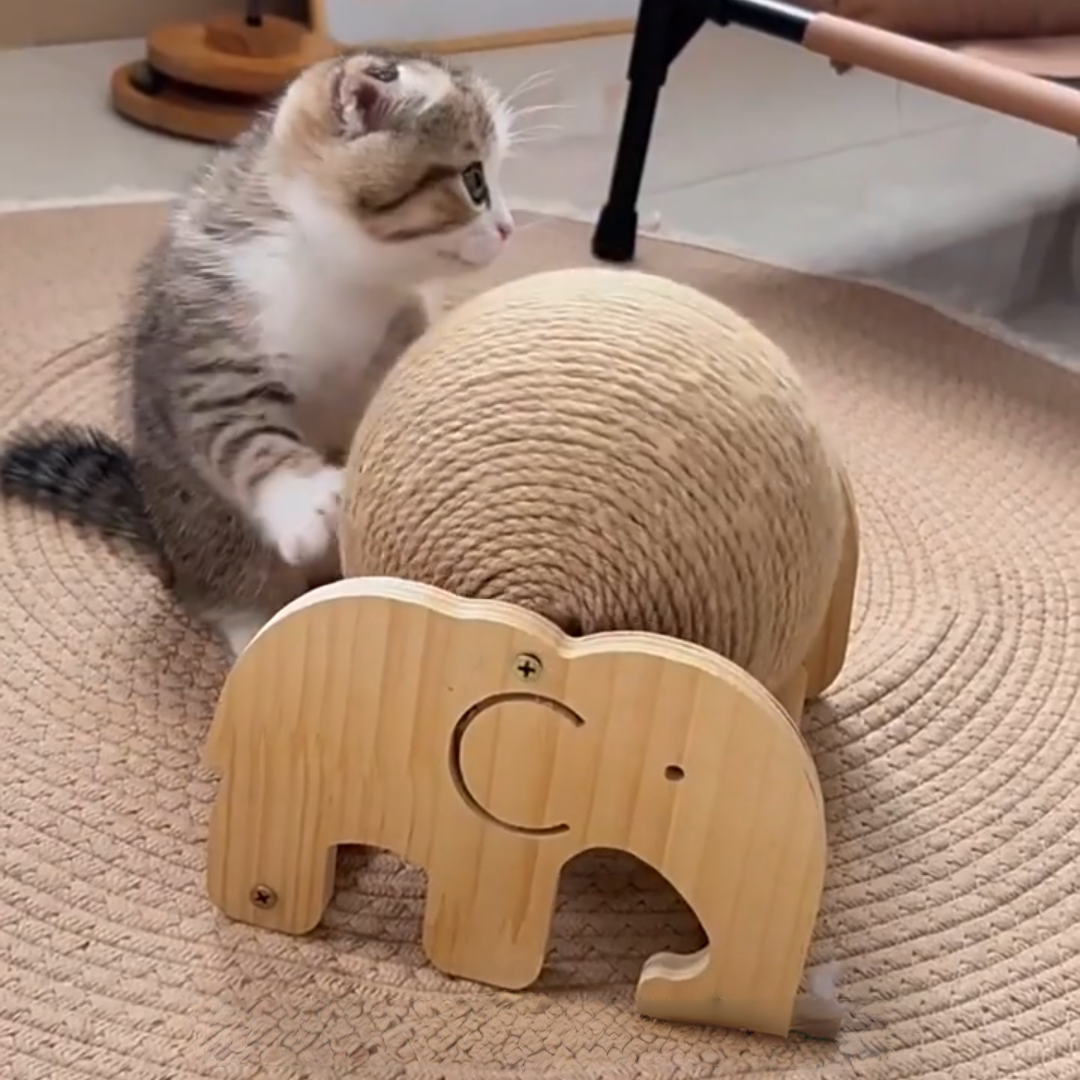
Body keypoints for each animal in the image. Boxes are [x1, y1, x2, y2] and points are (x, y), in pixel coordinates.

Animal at [0, 48, 515, 659]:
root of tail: (164, 546)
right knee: (238, 586)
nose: (508, 229)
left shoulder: (400, 322)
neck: (338, 275)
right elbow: (239, 430)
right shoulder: (210, 352)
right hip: (209, 528)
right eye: (475, 181)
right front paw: (301, 496)